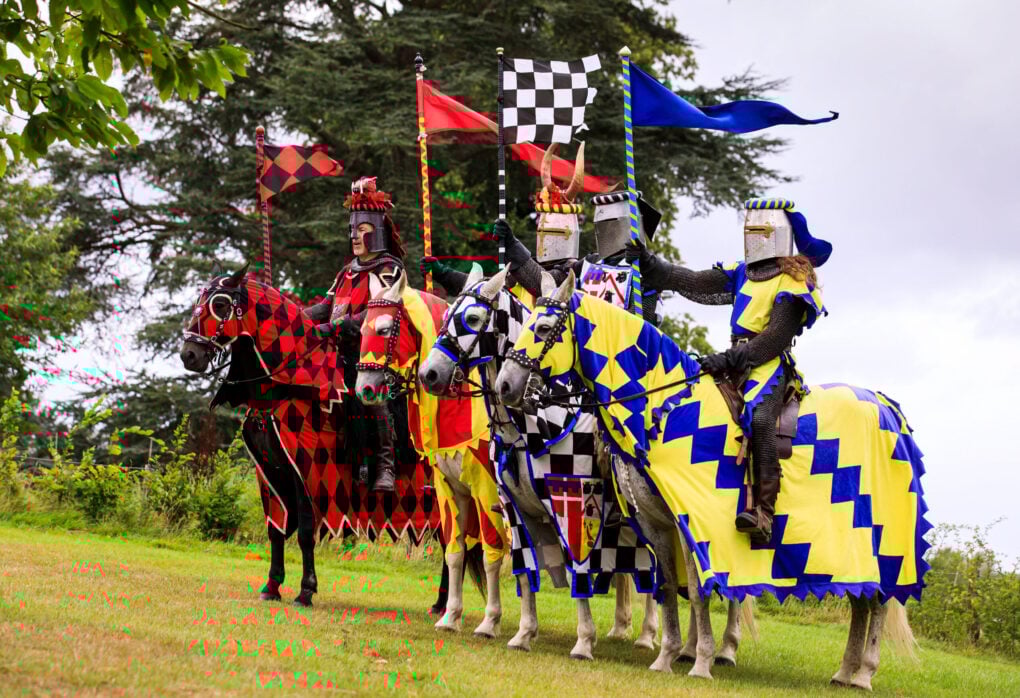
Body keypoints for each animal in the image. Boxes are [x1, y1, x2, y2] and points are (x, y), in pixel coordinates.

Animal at [180, 264, 440, 607]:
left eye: (220, 304)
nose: (189, 354)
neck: (287, 388)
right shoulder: (270, 472)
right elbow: (276, 529)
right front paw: (272, 586)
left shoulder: (308, 471)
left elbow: (305, 531)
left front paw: (305, 590)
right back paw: (440, 605)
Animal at [354, 270, 510, 638]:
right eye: (362, 329)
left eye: (384, 329)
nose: (363, 389)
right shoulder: (447, 488)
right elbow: (455, 550)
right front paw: (450, 616)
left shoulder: (487, 489)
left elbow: (492, 552)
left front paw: (489, 621)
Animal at [496, 271, 928, 688]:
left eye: (543, 327)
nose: (505, 385)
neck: (661, 409)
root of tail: (887, 408)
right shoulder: (657, 525)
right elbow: (669, 587)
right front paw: (666, 656)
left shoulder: (693, 524)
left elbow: (699, 591)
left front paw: (700, 661)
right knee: (863, 601)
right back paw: (845, 671)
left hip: (881, 544)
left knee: (879, 602)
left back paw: (864, 673)